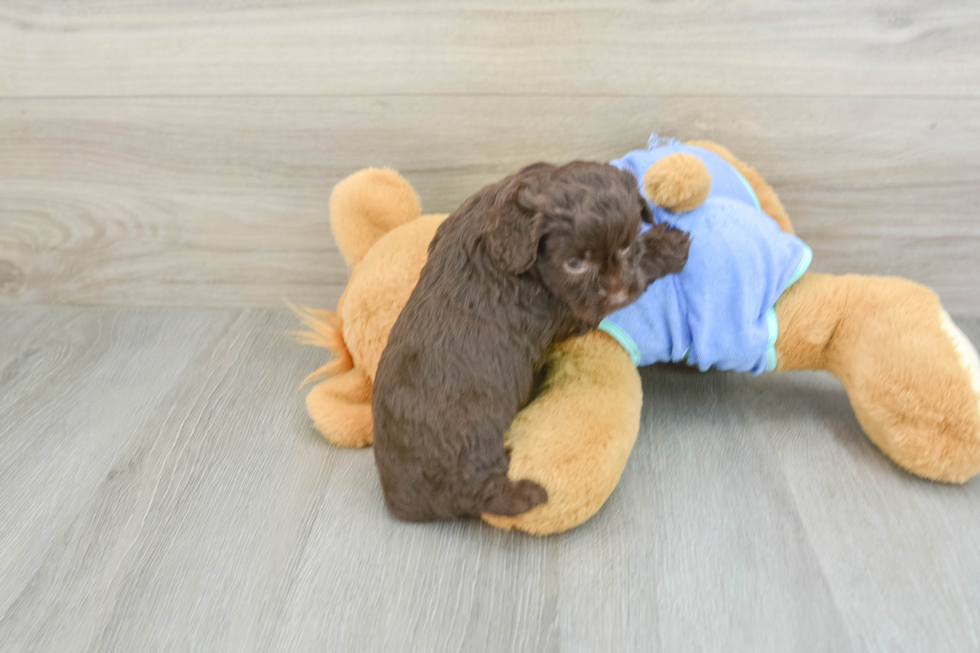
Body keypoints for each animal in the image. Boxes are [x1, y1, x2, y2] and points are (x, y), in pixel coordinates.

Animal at [374, 160, 688, 524]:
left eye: (625, 246)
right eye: (575, 264)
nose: (620, 294)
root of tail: (399, 501)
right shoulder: (568, 310)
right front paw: (668, 246)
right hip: (472, 437)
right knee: (475, 493)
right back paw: (529, 494)